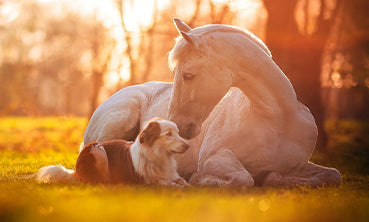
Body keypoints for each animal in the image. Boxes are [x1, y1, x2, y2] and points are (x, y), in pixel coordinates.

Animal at [36, 119, 190, 186]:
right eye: (168, 134)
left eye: (178, 133)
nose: (188, 145)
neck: (160, 156)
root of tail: (76, 171)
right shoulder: (147, 180)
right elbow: (167, 183)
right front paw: (179, 187)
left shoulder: (172, 174)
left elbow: (182, 181)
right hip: (97, 149)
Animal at [82, 18, 340, 186]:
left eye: (188, 75)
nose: (175, 125)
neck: (278, 120)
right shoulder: (215, 157)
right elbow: (243, 178)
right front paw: (198, 179)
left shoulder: (300, 165)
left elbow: (332, 175)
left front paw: (273, 177)